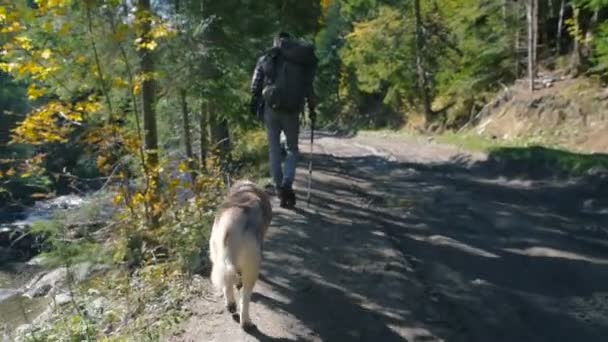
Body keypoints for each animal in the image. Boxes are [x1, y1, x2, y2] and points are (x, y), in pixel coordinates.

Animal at [211, 179, 274, 332]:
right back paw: (246, 322)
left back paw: (230, 305)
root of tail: (231, 222)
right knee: (245, 297)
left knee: (227, 282)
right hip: (251, 265)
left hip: (217, 256)